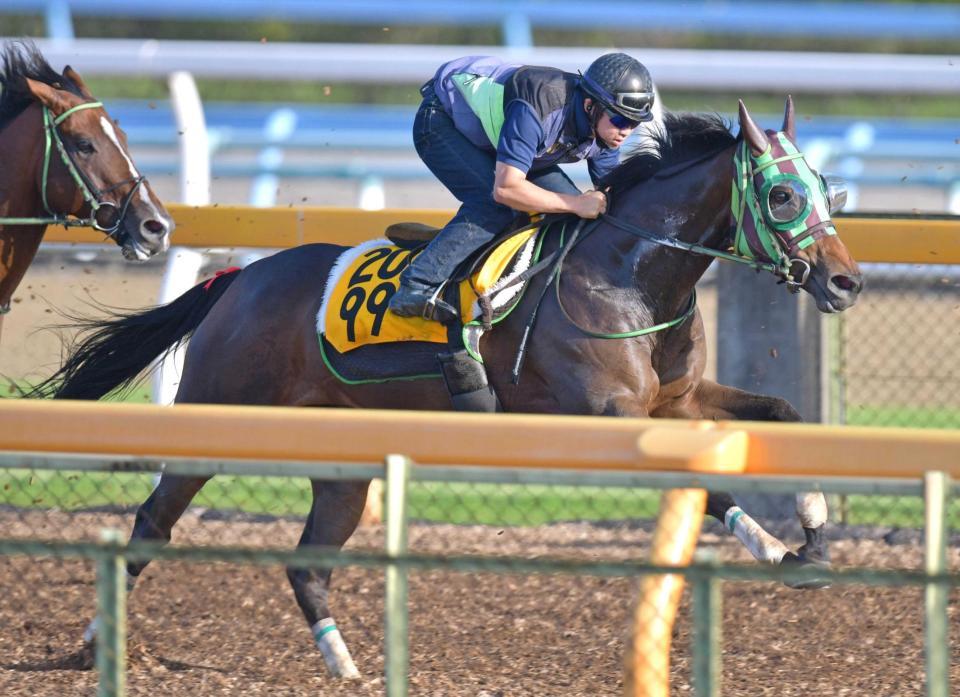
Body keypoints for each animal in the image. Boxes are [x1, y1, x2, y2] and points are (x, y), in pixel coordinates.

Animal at [31, 96, 864, 676]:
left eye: (829, 189)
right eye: (783, 195)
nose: (845, 281)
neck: (630, 270)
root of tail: (238, 279)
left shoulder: (677, 400)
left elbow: (785, 412)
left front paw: (815, 530)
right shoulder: (608, 414)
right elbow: (704, 479)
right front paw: (773, 546)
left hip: (344, 462)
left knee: (306, 562)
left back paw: (344, 663)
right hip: (215, 416)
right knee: (153, 521)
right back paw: (95, 640)